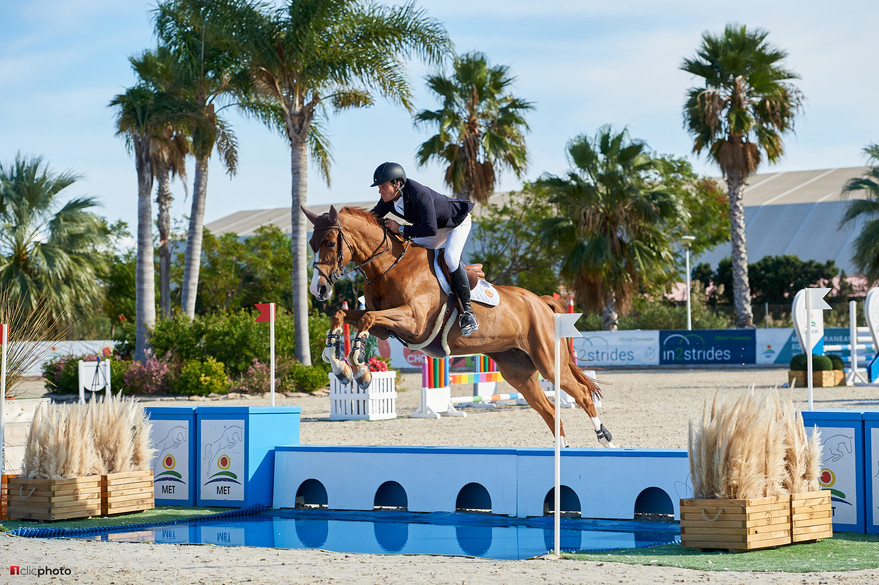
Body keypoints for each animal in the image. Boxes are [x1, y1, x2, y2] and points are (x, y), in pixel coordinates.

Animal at [306, 205, 616, 448]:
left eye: (331, 243)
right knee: (550, 409)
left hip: (548, 362)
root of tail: (540, 302)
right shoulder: (387, 327)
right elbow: (344, 315)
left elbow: (366, 319)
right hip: (518, 371)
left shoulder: (413, 321)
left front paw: (359, 367)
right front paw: (339, 364)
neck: (390, 265)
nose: (318, 290)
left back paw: (605, 439)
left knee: (582, 393)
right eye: (311, 244)